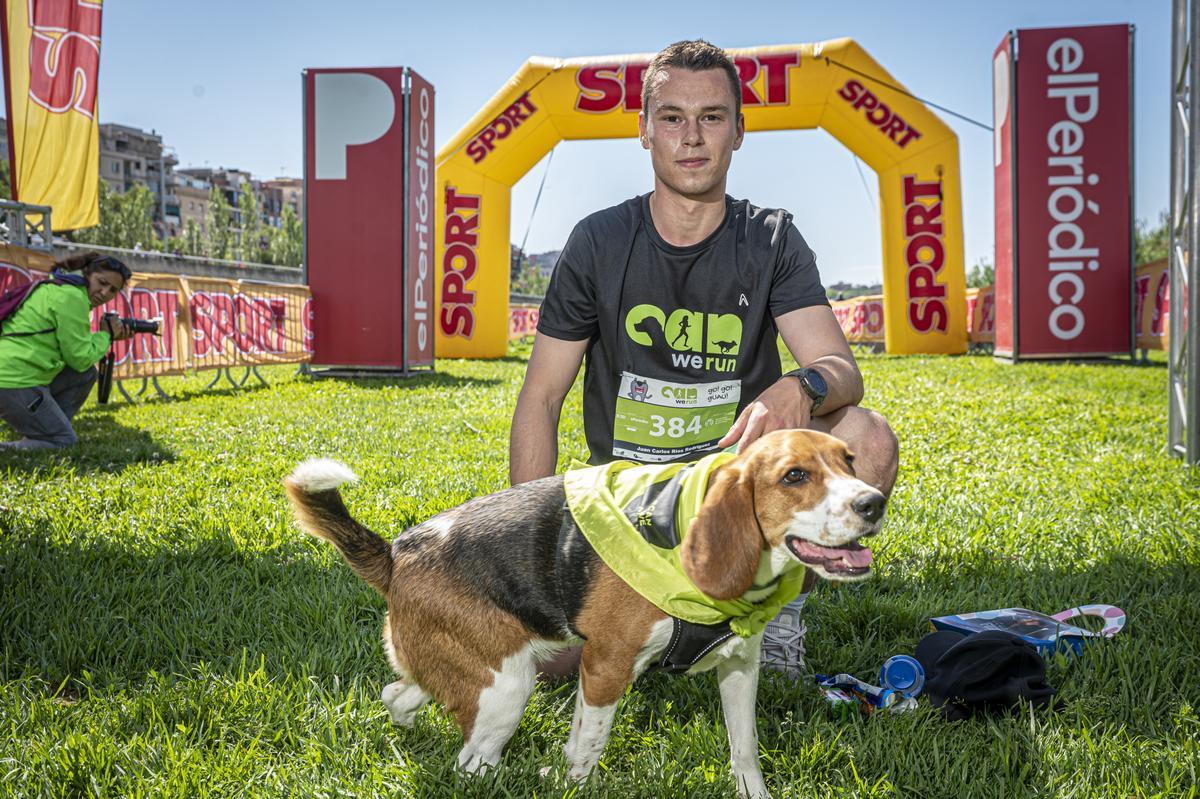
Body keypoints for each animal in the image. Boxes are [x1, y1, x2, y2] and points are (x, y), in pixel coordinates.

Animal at [285, 429, 888, 796]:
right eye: (794, 476)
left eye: (849, 461)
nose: (873, 502)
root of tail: (398, 551)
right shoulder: (607, 666)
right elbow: (590, 745)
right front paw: (573, 782)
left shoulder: (740, 668)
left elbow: (745, 750)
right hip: (509, 687)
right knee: (471, 763)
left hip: (467, 670)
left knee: (399, 693)